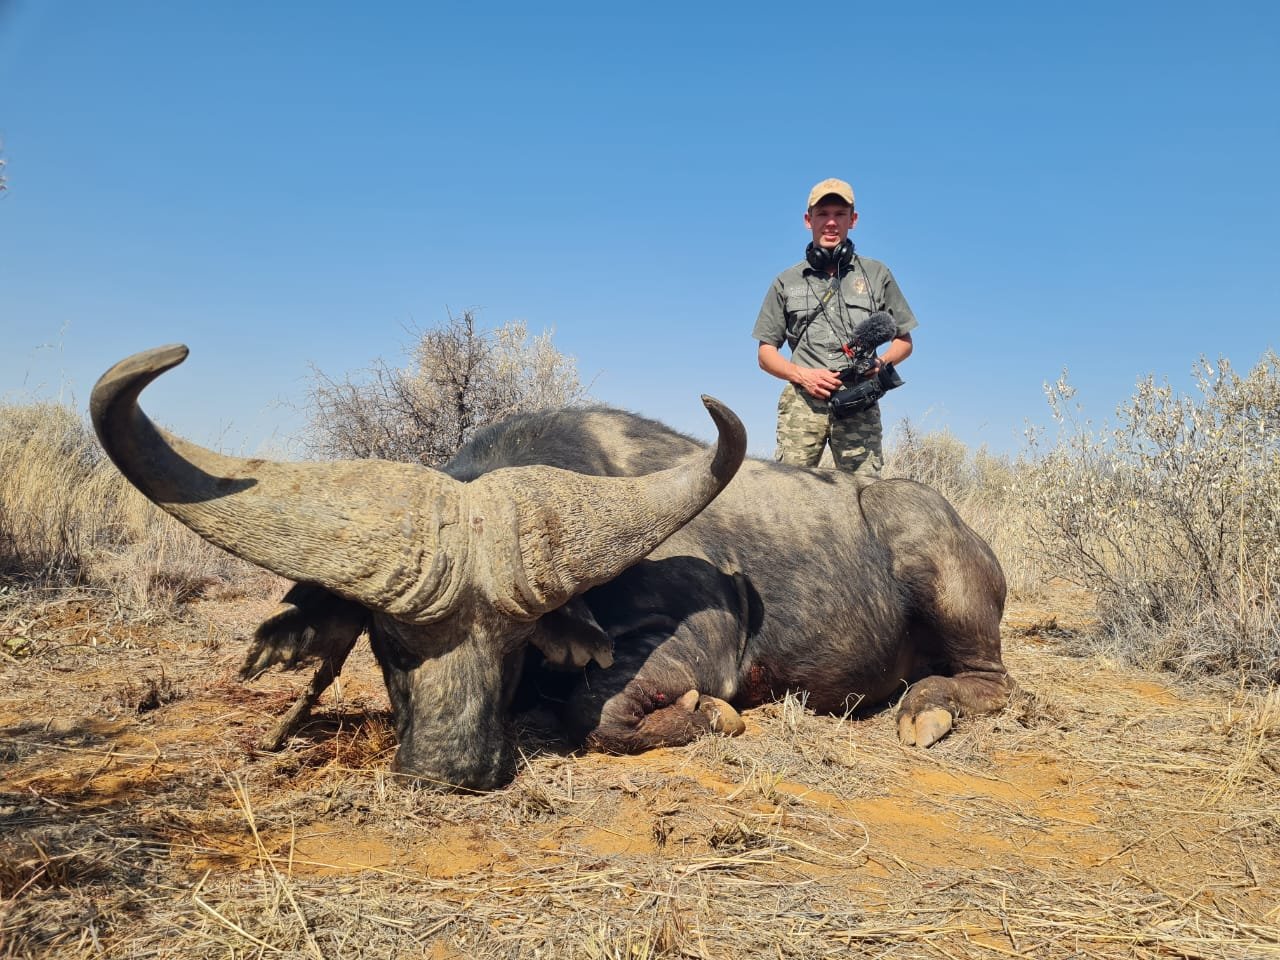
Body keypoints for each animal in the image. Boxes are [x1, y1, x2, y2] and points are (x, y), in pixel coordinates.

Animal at [91, 345, 1013, 790]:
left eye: (519, 642)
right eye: (388, 641)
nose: (454, 769)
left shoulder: (702, 642)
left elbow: (595, 713)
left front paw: (715, 718)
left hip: (948, 587)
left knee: (993, 683)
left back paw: (926, 710)